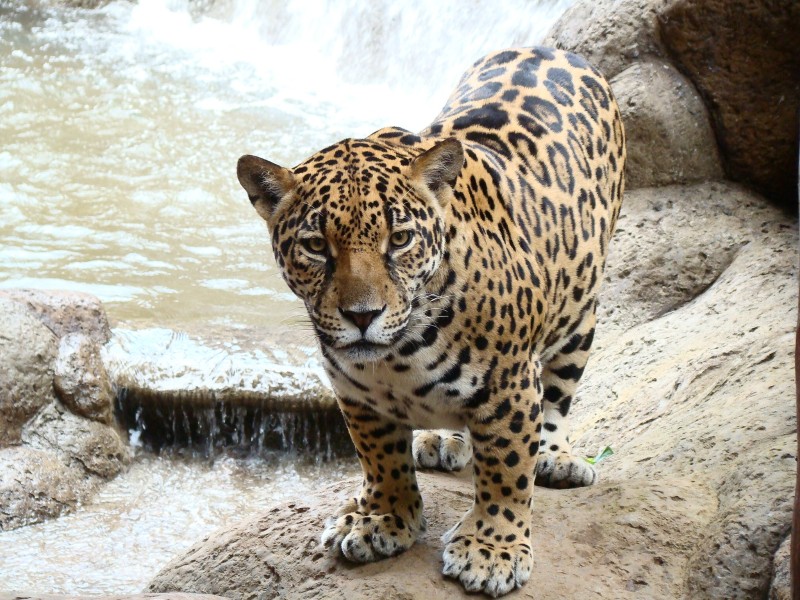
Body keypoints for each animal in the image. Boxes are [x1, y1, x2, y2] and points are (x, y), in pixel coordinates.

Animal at [237, 46, 625, 597]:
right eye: (315, 246)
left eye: (399, 239)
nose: (362, 316)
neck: (399, 356)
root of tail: (557, 49)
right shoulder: (354, 391)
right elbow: (379, 459)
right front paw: (381, 519)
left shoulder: (512, 385)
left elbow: (508, 468)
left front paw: (492, 549)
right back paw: (445, 440)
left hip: (580, 315)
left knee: (557, 399)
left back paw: (557, 457)